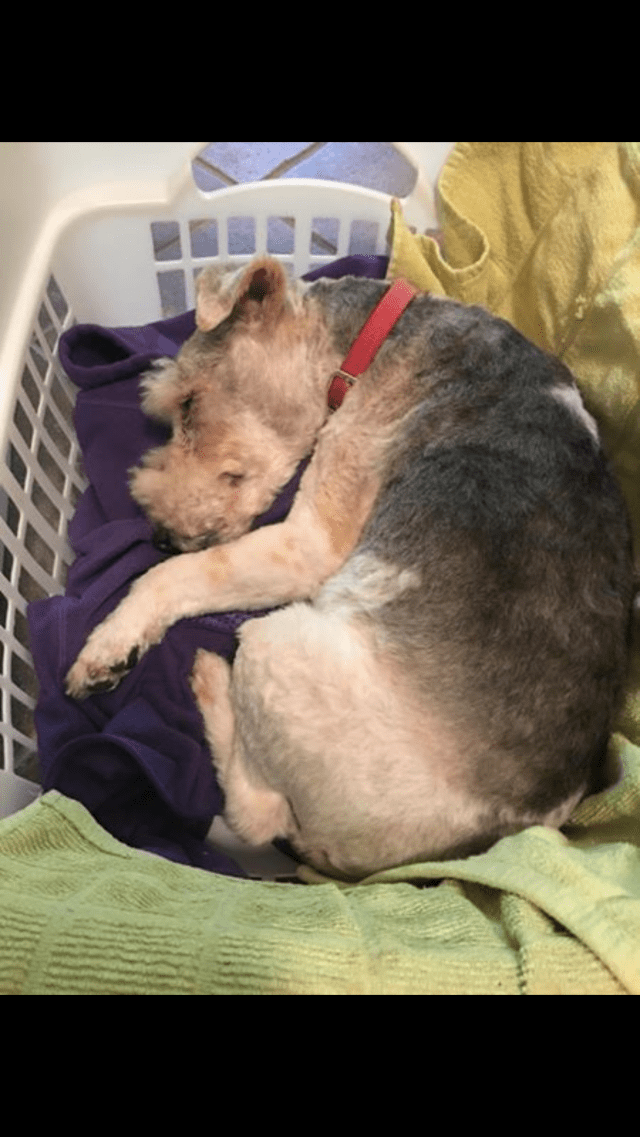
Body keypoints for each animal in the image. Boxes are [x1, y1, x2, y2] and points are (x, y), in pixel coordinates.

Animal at [66, 256, 635, 880]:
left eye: (188, 404)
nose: (162, 536)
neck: (373, 337)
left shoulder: (310, 539)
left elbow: (166, 578)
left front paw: (106, 650)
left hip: (274, 645)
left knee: (258, 814)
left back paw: (209, 676)